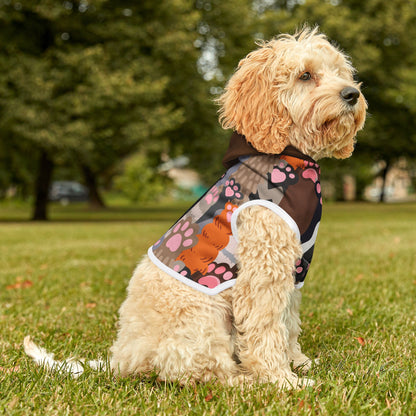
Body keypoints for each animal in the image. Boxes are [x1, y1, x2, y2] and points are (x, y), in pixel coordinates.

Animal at [24, 27, 366, 388]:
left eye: (340, 72)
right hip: (202, 318)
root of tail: (122, 358)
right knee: (201, 371)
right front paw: (281, 380)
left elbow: (288, 322)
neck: (290, 156)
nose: (352, 94)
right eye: (305, 75)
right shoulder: (263, 269)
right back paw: (244, 380)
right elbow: (266, 327)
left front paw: (298, 362)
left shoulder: (293, 266)